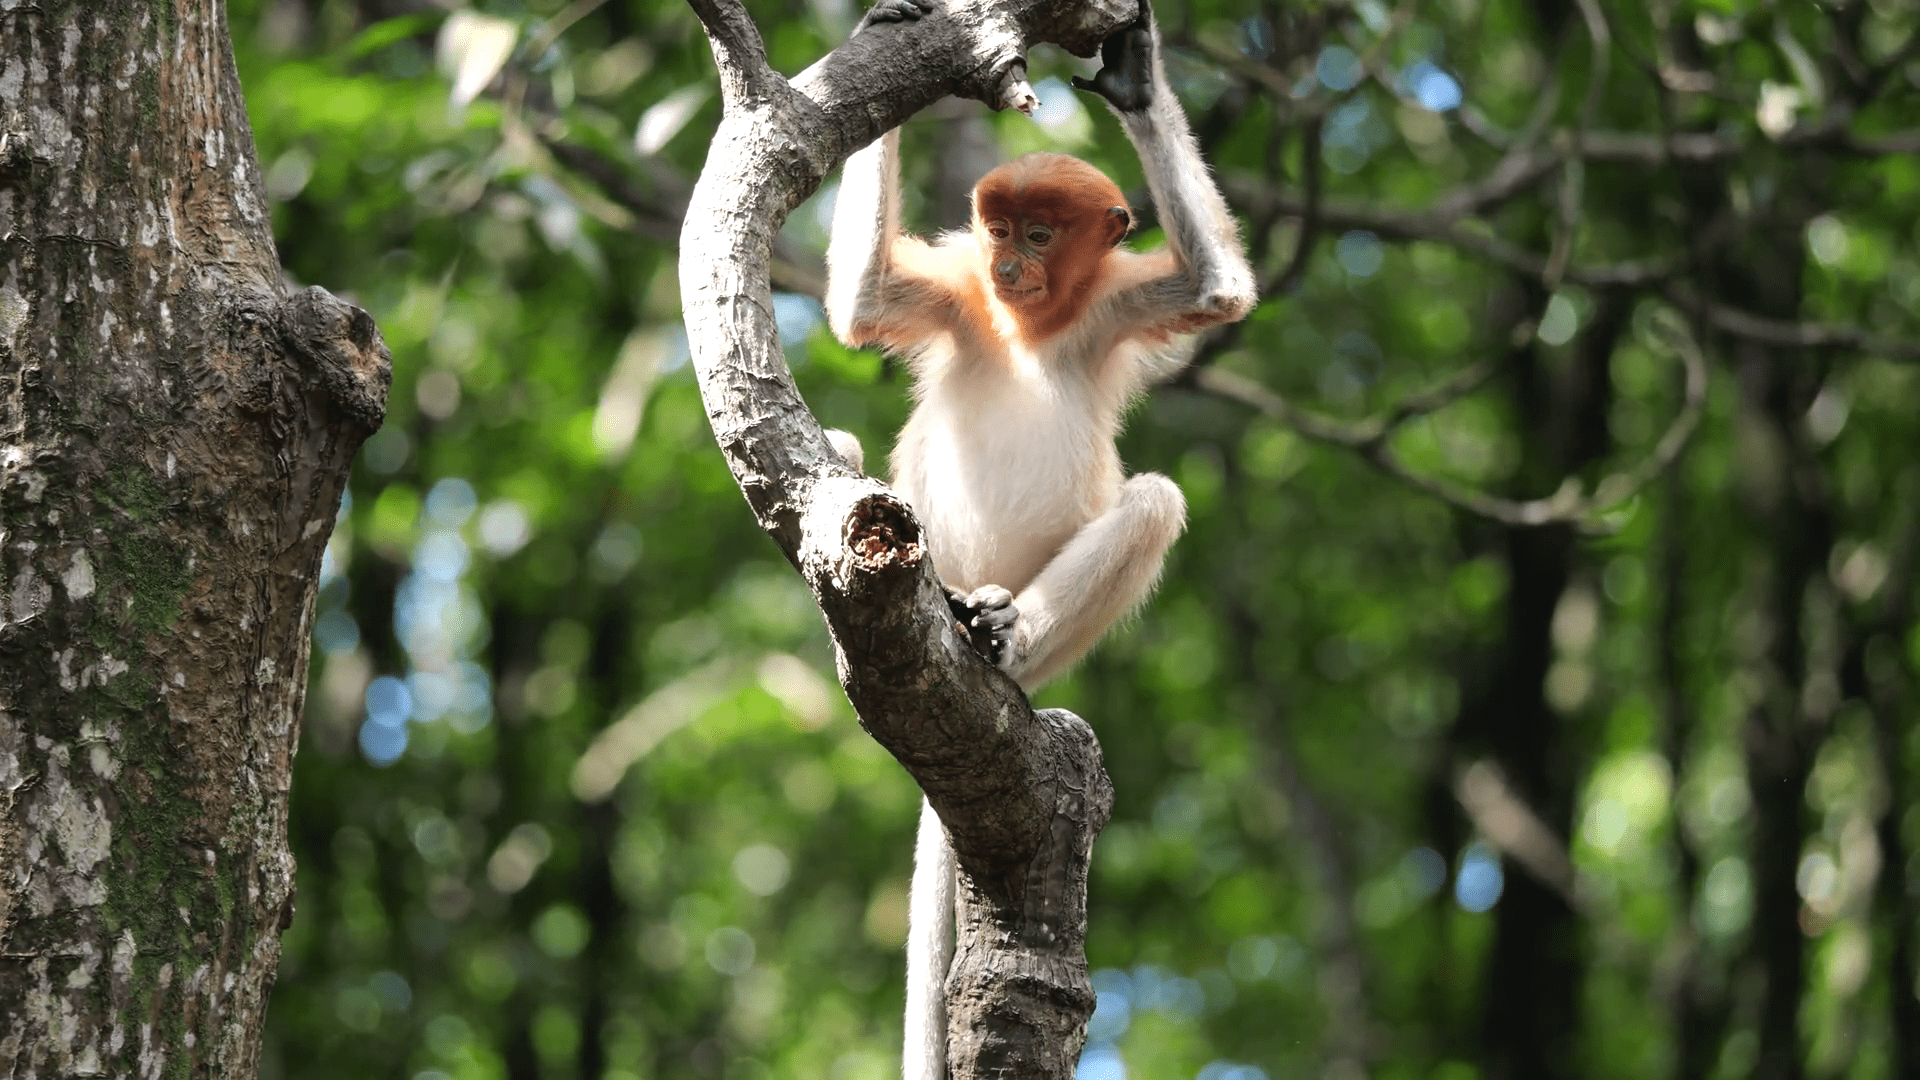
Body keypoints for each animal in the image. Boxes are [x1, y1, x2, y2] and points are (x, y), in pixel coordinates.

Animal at [821, 3, 1255, 1077]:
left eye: (1041, 232)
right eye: (995, 230)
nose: (1009, 265)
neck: (1028, 323)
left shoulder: (1116, 304)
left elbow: (1220, 290)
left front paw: (1138, 79)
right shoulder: (958, 288)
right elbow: (865, 299)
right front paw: (888, 20)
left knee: (1156, 500)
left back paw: (999, 630)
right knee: (847, 459)